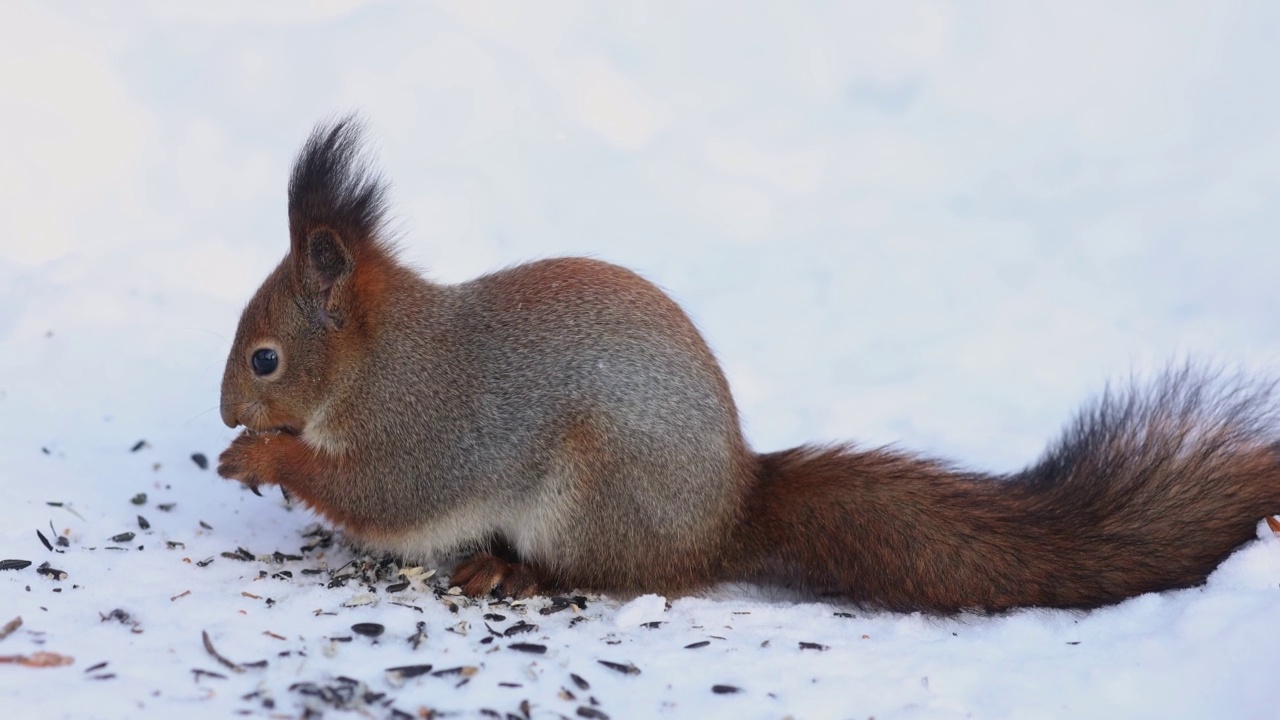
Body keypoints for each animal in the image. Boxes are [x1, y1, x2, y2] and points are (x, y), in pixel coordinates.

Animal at [217, 117, 1280, 609]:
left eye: (266, 359)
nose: (229, 412)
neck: (374, 359)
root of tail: (730, 509)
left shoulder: (430, 420)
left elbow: (387, 490)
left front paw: (265, 459)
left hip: (597, 494)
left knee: (616, 575)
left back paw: (511, 572)